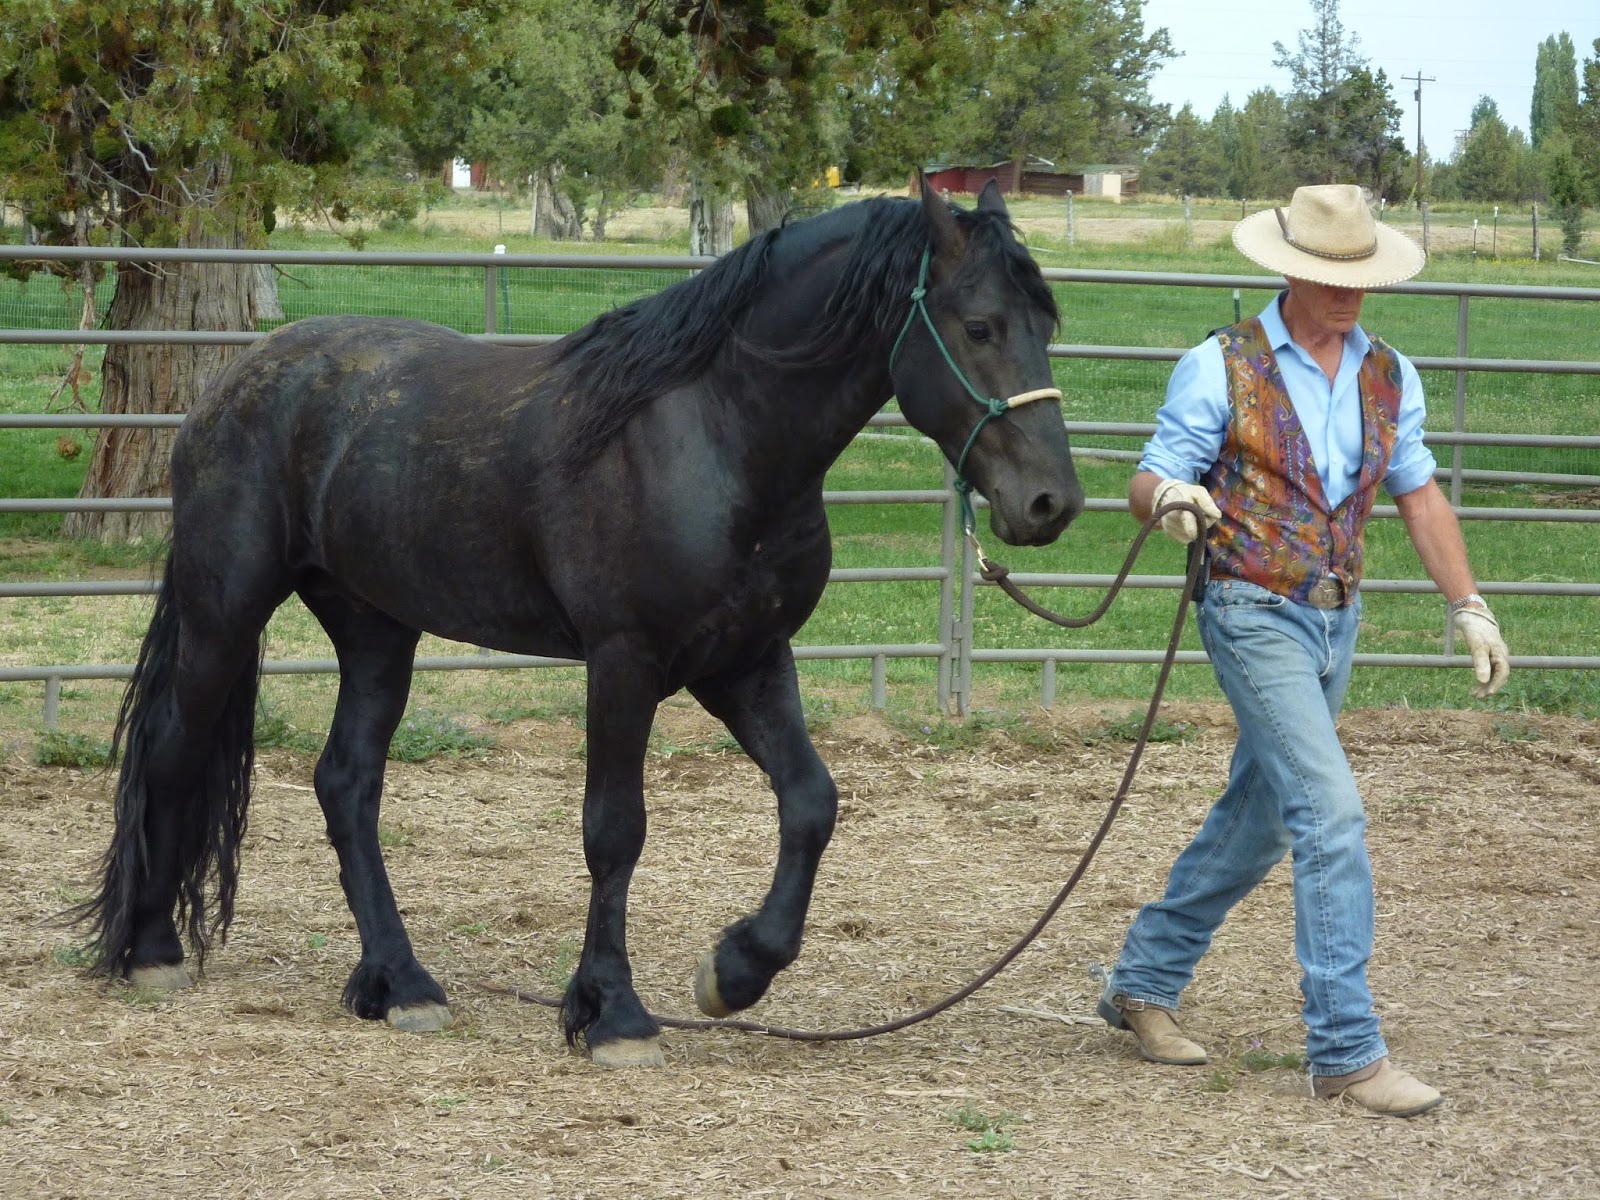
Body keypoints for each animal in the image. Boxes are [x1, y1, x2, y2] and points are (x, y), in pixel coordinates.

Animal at [77, 176, 1084, 1067]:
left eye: (1047, 325)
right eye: (980, 325)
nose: (1051, 504)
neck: (714, 437)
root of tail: (232, 383)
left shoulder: (747, 661)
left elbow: (810, 802)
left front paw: (734, 973)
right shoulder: (624, 662)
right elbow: (615, 830)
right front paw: (613, 1014)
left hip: (376, 630)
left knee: (347, 784)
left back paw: (399, 983)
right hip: (226, 614)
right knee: (174, 749)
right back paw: (155, 951)